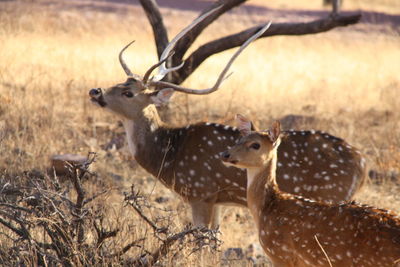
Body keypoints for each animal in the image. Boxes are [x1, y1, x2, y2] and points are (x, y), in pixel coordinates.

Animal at [90, 7, 366, 227]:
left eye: (128, 93)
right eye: (121, 81)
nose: (95, 91)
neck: (168, 156)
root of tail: (362, 164)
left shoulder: (200, 192)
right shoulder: (220, 200)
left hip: (328, 193)